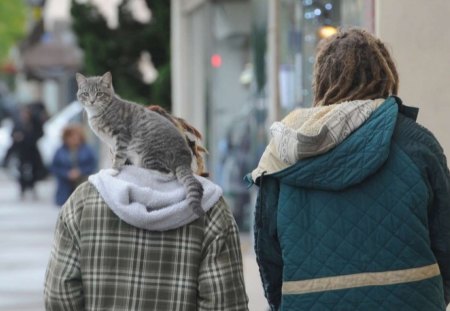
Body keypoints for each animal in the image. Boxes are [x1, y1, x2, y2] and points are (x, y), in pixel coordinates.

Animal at [76, 72, 206, 217]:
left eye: (99, 93)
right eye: (86, 93)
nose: (92, 101)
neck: (100, 112)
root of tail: (184, 159)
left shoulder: (121, 135)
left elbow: (119, 156)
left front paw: (113, 170)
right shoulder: (113, 143)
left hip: (148, 153)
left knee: (168, 173)